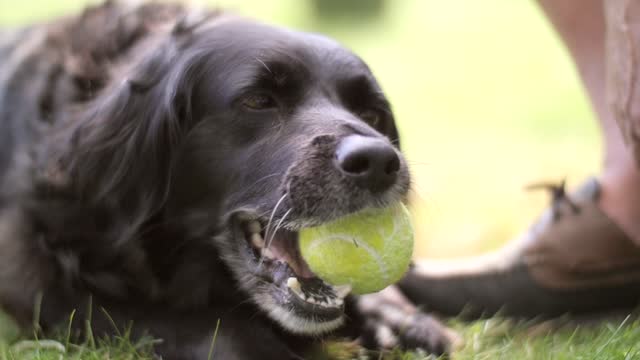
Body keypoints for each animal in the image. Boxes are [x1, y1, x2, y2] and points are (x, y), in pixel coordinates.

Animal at [0, 2, 456, 358]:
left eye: (372, 114)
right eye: (258, 100)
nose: (378, 161)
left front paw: (393, 315)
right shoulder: (39, 274)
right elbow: (203, 325)